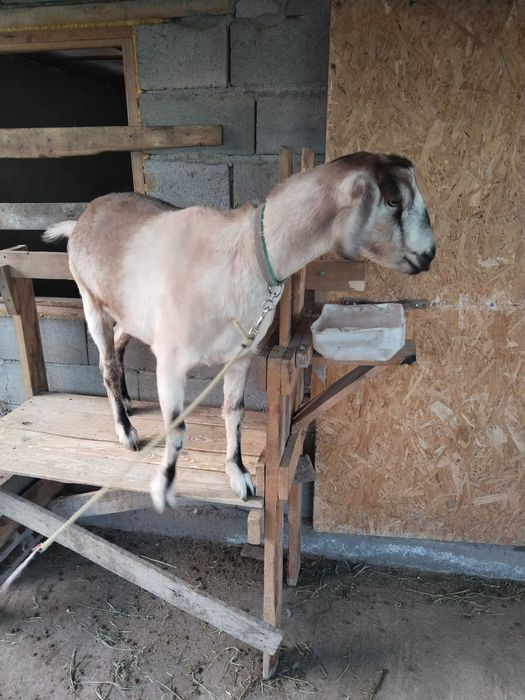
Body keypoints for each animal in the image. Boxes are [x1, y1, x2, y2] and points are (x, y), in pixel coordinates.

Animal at [43, 152, 435, 512]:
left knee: (121, 346)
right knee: (106, 364)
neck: (242, 255)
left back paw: (125, 400)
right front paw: (164, 484)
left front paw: (239, 474)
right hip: (91, 301)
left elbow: (235, 411)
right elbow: (178, 430)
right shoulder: (170, 359)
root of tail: (83, 217)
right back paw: (126, 431)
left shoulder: (242, 354)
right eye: (394, 200)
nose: (429, 255)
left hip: (132, 314)